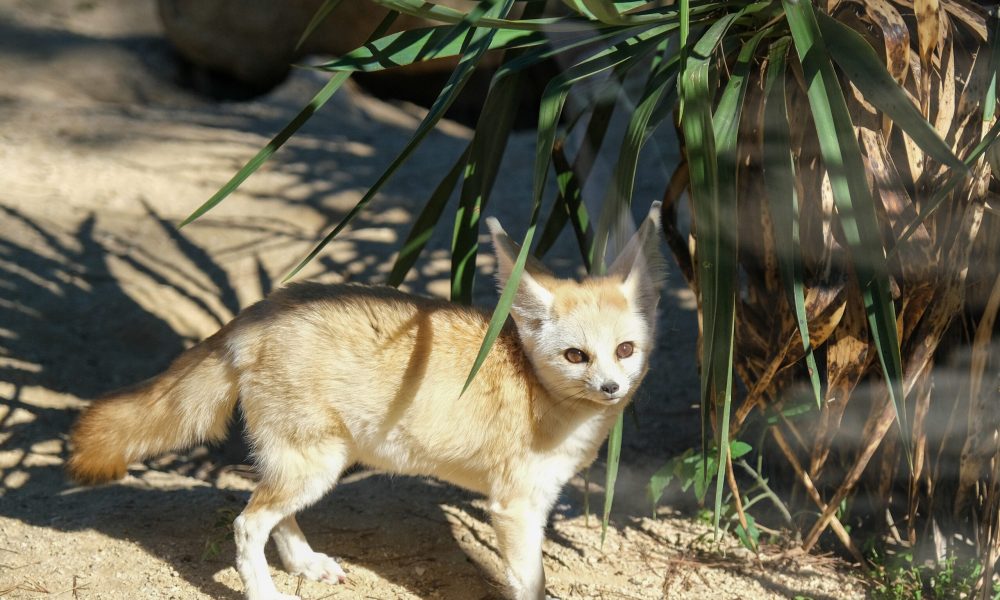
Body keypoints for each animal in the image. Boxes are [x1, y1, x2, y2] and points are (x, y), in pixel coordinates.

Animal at [68, 203, 664, 600]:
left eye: (624, 350)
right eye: (576, 356)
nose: (612, 388)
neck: (536, 387)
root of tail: (257, 311)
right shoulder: (515, 508)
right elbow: (531, 584)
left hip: (314, 461)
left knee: (270, 511)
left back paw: (305, 563)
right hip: (317, 463)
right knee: (246, 524)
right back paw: (265, 591)